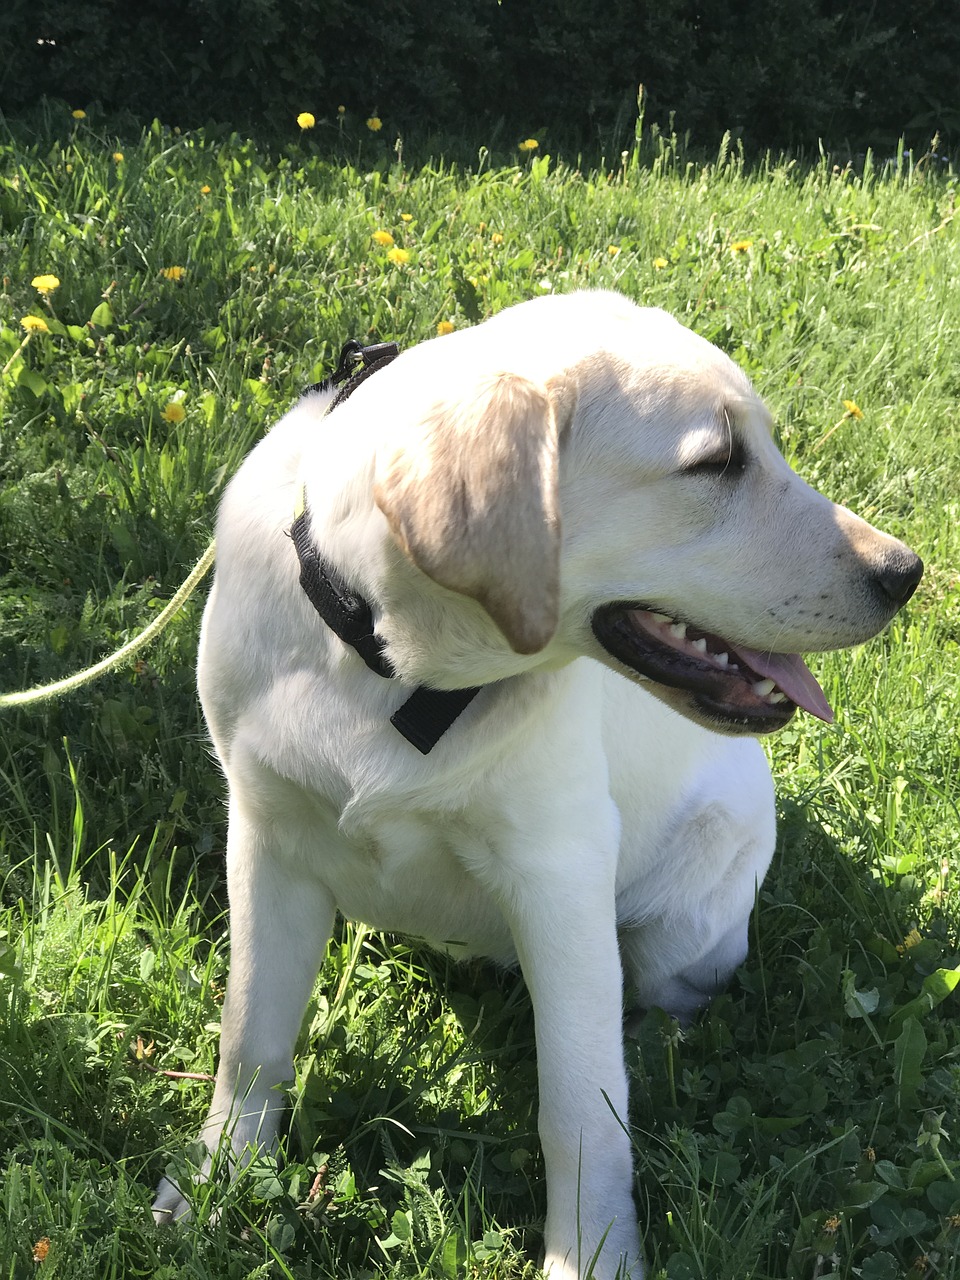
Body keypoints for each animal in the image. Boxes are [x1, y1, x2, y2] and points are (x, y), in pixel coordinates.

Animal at [152, 293, 926, 1280]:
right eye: (716, 462)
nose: (905, 574)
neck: (393, 674)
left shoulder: (559, 878)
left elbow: (581, 1109)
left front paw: (591, 1255)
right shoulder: (265, 839)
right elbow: (250, 1034)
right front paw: (218, 1182)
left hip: (686, 918)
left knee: (669, 1002)